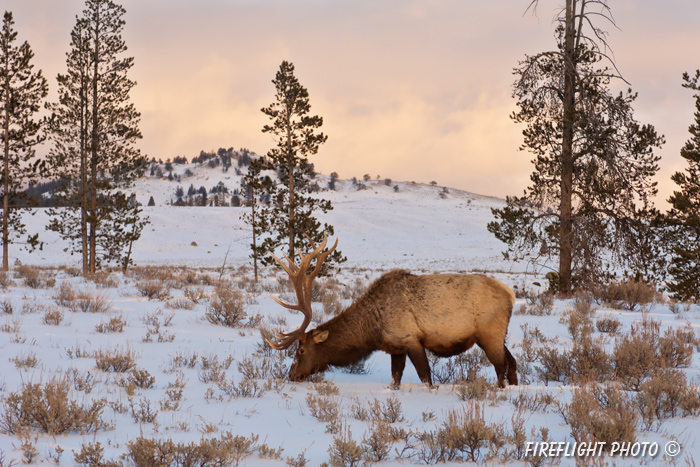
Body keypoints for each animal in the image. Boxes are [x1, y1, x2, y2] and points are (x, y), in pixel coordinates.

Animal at [266, 234, 516, 388]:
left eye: (301, 351)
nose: (291, 375)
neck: (371, 330)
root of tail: (511, 295)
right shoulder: (396, 348)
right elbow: (395, 378)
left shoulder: (410, 339)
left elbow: (426, 377)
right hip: (497, 336)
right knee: (512, 363)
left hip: (489, 334)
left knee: (501, 367)